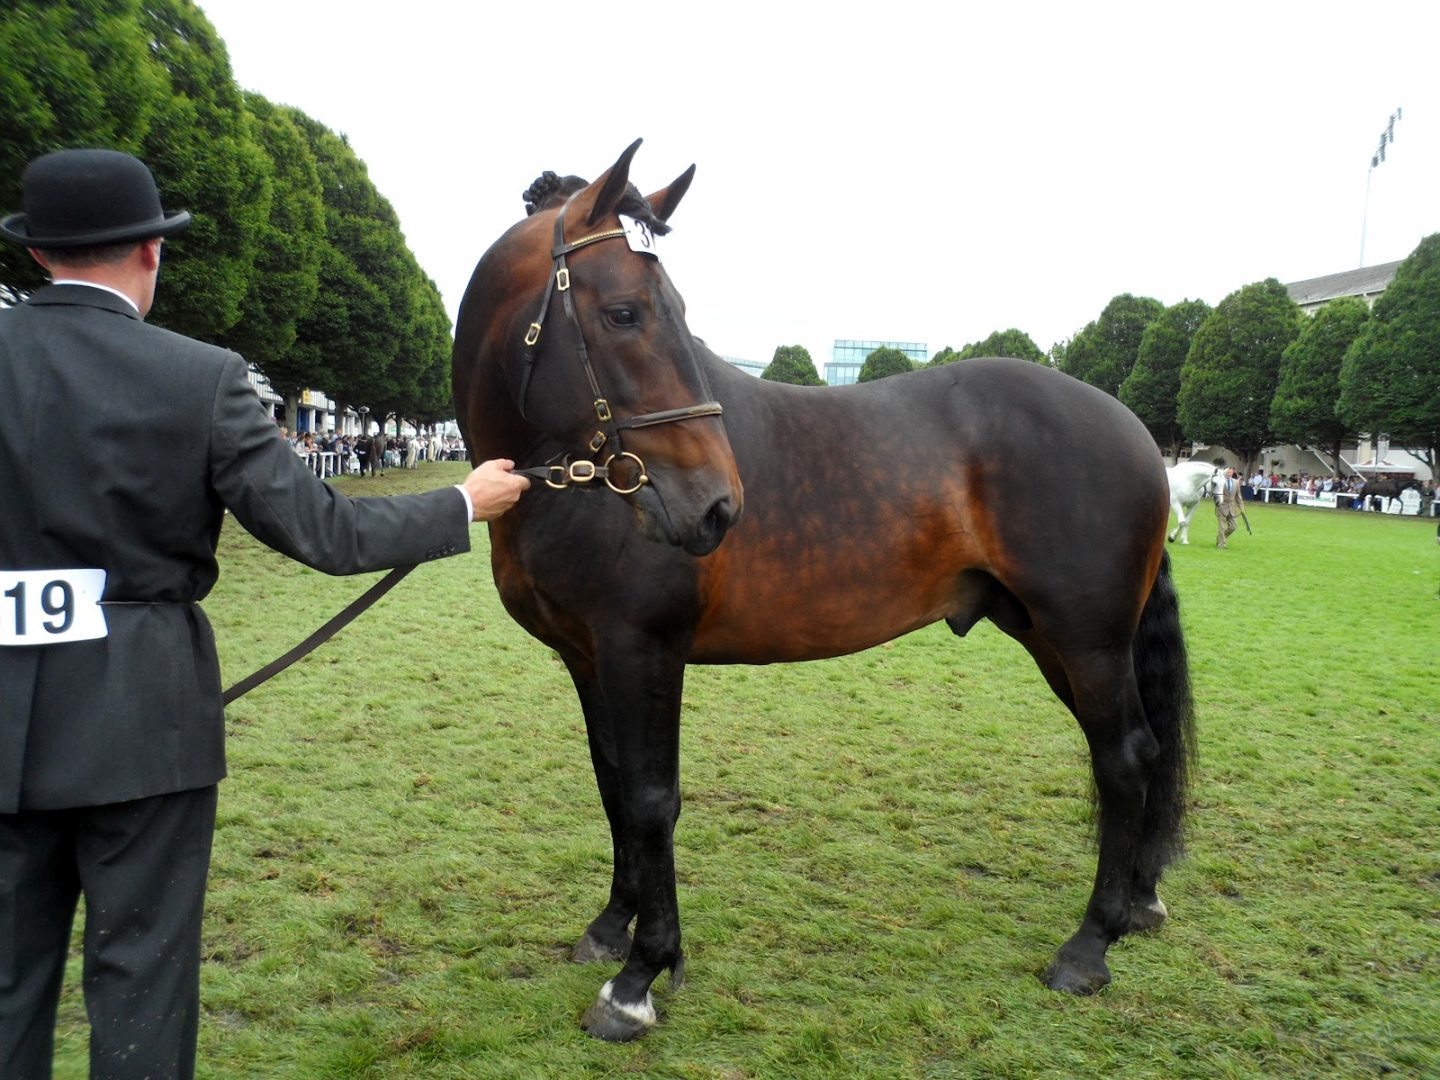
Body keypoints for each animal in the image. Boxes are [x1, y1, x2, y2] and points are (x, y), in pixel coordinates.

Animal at [452, 140, 1196, 1042]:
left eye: (669, 309)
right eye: (626, 312)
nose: (716, 506)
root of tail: (1135, 432)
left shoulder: (644, 650)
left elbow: (653, 799)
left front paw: (639, 977)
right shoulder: (587, 659)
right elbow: (613, 788)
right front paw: (610, 928)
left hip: (1086, 640)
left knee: (1125, 759)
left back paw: (1089, 947)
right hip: (1056, 637)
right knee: (1135, 755)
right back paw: (1137, 902)